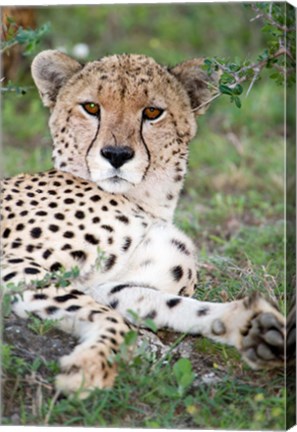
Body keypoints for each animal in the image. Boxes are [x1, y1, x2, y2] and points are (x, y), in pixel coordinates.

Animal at [0, 49, 284, 396]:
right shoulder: (15, 264)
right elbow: (114, 320)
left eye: (152, 112)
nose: (116, 154)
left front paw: (253, 327)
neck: (146, 200)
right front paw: (91, 366)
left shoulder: (108, 285)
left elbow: (173, 304)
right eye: (91, 107)